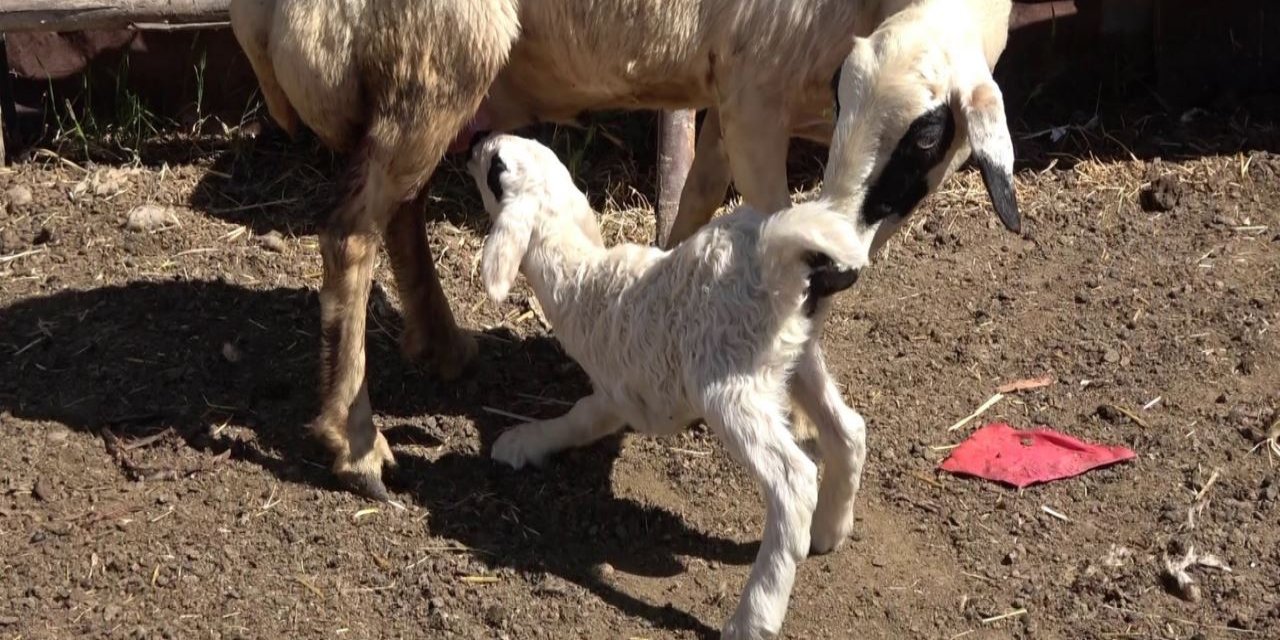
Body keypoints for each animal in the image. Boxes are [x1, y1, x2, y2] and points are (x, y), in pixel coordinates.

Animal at [471, 132, 870, 637]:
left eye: (496, 169)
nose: (477, 141)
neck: (582, 277)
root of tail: (774, 251)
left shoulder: (617, 393)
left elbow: (578, 419)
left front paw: (521, 442)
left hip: (729, 382)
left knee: (793, 481)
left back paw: (753, 617)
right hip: (797, 354)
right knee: (848, 429)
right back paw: (830, 530)